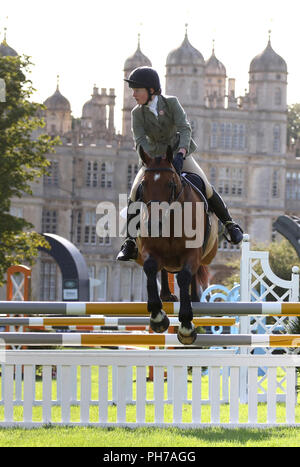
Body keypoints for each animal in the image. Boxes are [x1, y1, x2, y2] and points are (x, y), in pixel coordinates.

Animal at [136, 146, 218, 344]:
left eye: (170, 184)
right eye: (143, 185)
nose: (154, 225)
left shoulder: (193, 253)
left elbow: (184, 277)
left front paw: (187, 325)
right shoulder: (149, 250)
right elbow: (150, 268)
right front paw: (157, 317)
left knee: (190, 275)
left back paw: (195, 298)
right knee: (163, 270)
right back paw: (166, 294)